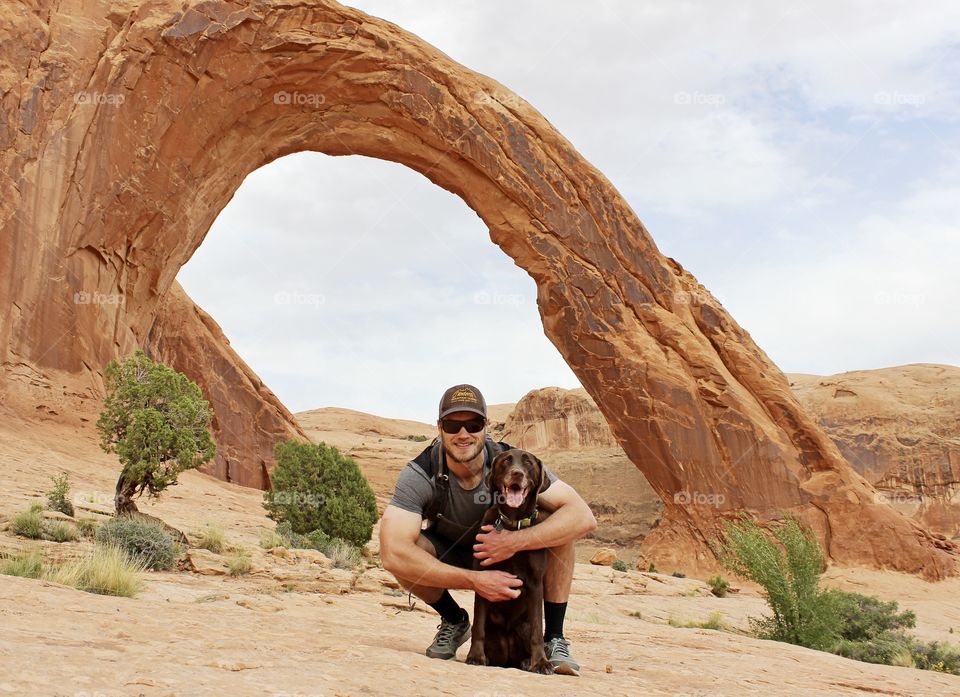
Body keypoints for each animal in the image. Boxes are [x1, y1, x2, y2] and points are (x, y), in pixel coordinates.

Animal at [466, 448, 556, 672]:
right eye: (506, 461)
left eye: (528, 463)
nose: (517, 473)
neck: (513, 525)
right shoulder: (483, 577)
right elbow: (478, 625)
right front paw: (476, 656)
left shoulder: (535, 583)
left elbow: (537, 631)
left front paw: (541, 662)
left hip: (522, 626)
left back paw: (527, 661)